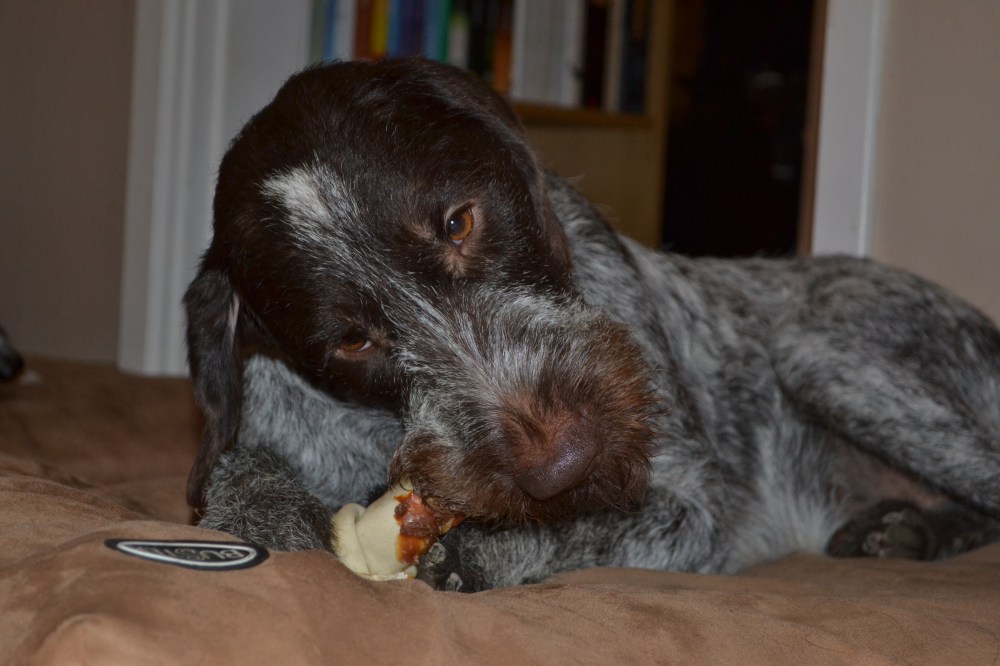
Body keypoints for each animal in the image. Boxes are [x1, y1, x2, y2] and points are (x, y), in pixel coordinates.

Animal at [184, 58, 1000, 591]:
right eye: (353, 341)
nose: (565, 462)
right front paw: (275, 511)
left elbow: (576, 531)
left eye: (458, 223)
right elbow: (230, 478)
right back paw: (907, 530)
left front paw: (478, 554)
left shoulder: (696, 511)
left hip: (819, 351)